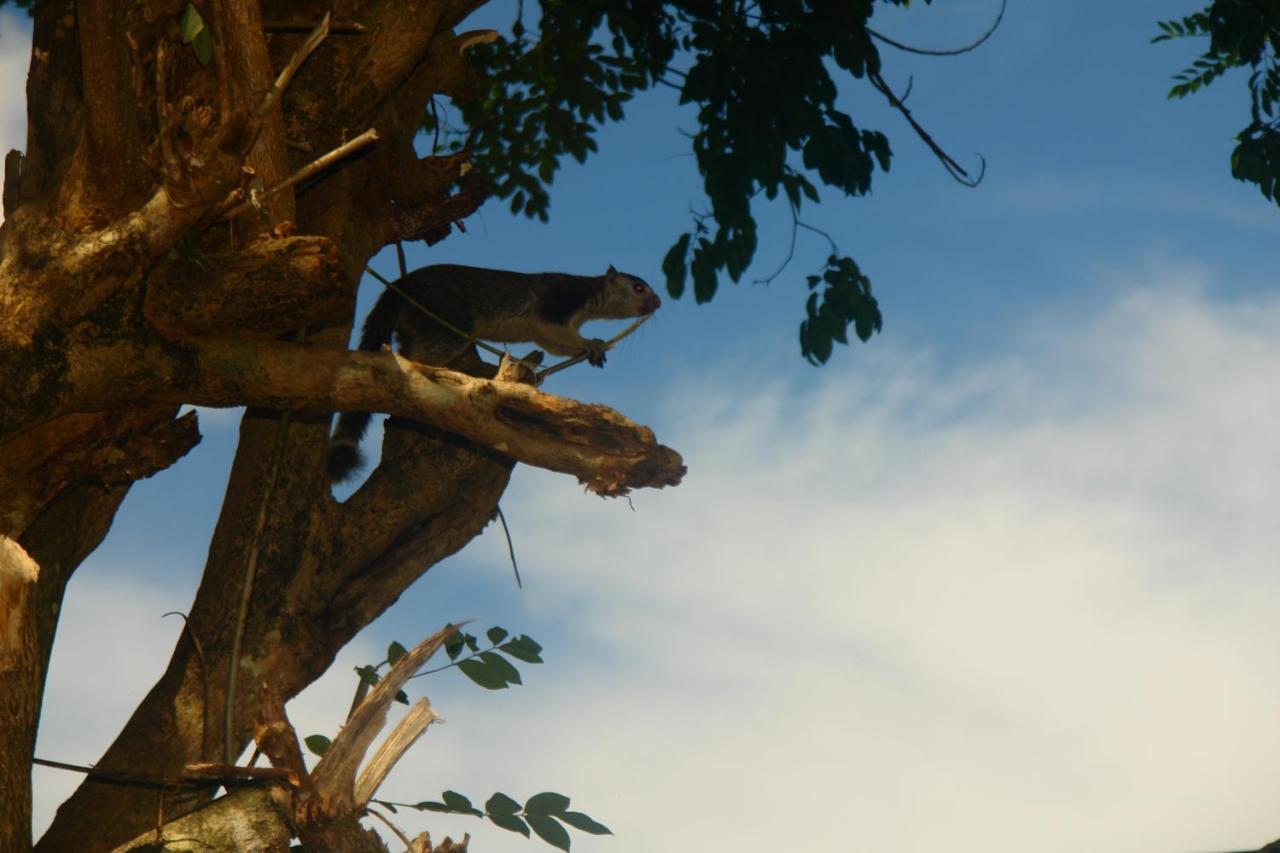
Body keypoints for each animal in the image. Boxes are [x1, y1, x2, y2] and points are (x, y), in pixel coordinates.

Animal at [327, 262, 660, 481]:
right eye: (638, 287)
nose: (658, 303)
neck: (590, 298)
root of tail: (401, 285)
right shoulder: (559, 303)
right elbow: (553, 328)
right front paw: (591, 344)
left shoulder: (549, 333)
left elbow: (553, 344)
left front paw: (593, 347)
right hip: (449, 318)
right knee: (418, 357)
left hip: (415, 324)